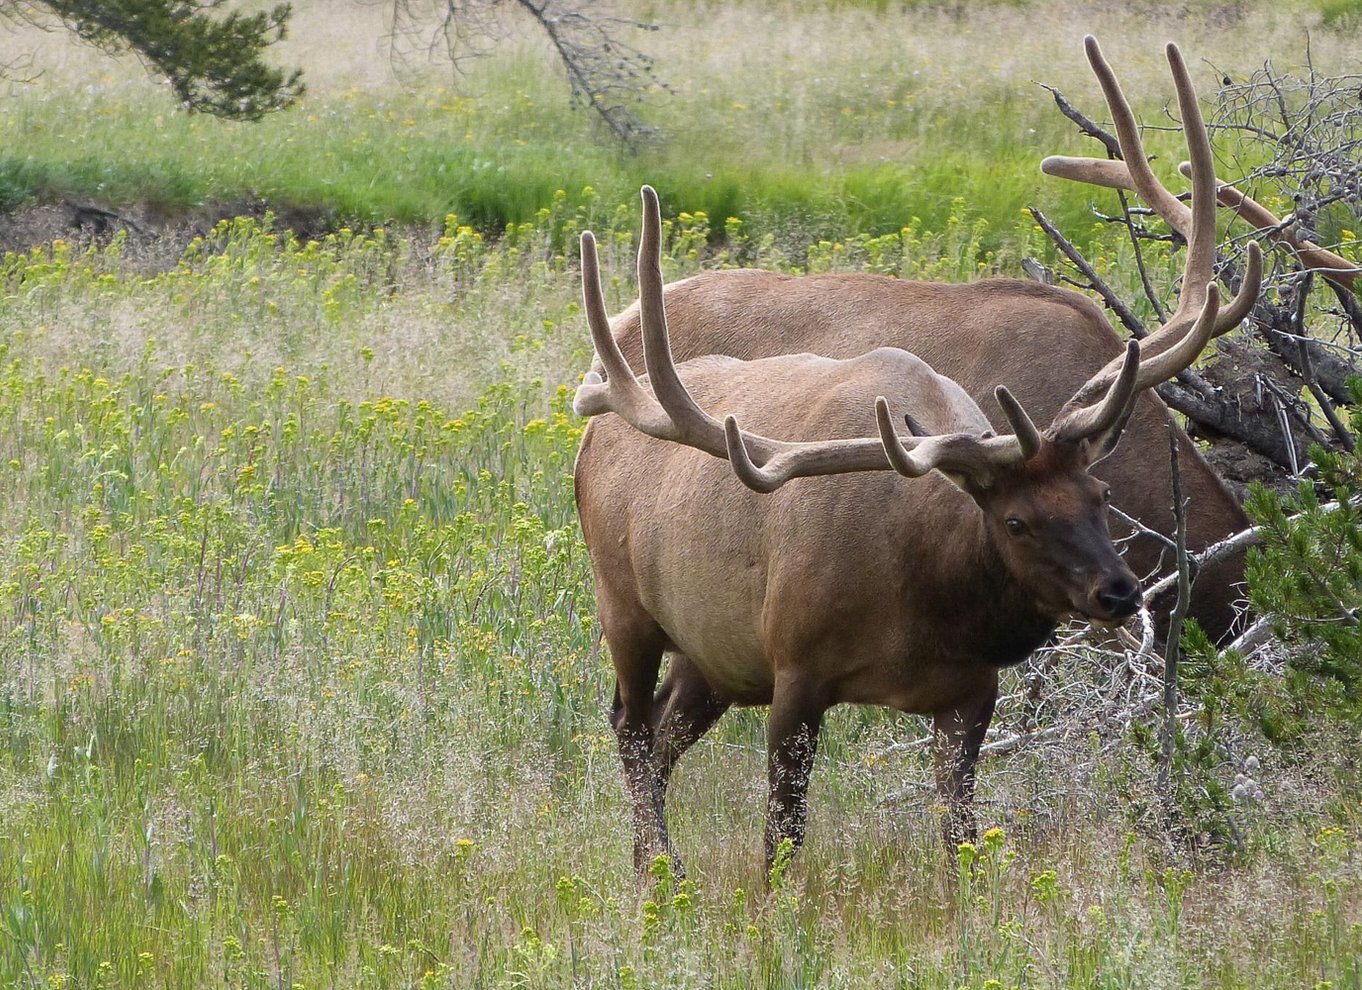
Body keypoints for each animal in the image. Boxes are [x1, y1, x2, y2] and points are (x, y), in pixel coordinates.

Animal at [572, 179, 1253, 876]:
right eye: (1016, 520)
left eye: (1102, 494)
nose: (1118, 591)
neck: (919, 597)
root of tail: (596, 426)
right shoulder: (795, 671)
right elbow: (781, 843)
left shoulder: (971, 691)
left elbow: (961, 838)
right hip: (624, 607)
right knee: (629, 725)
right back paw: (657, 869)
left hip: (712, 653)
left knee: (660, 735)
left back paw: (656, 863)